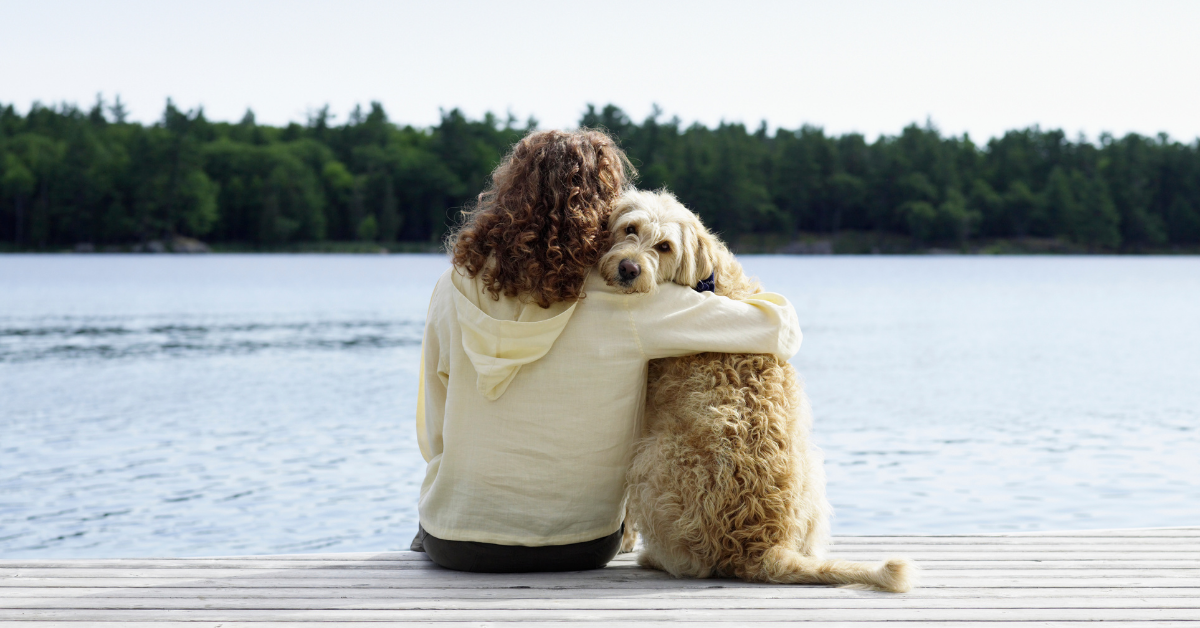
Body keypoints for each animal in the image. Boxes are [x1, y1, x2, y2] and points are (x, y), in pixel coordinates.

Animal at [600, 189, 916, 593]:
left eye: (665, 246)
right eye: (630, 228)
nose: (629, 269)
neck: (707, 279)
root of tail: (762, 546)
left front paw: (625, 539)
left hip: (651, 458)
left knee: (691, 563)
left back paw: (653, 558)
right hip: (812, 468)